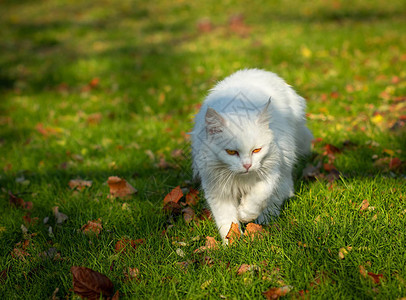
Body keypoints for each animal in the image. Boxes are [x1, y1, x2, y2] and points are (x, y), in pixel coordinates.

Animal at [191, 68, 314, 241]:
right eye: (231, 152)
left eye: (256, 150)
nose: (247, 165)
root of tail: (260, 71)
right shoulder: (217, 190)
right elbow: (226, 221)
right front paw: (233, 243)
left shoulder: (271, 173)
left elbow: (258, 196)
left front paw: (245, 215)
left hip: (286, 161)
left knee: (280, 192)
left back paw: (265, 219)